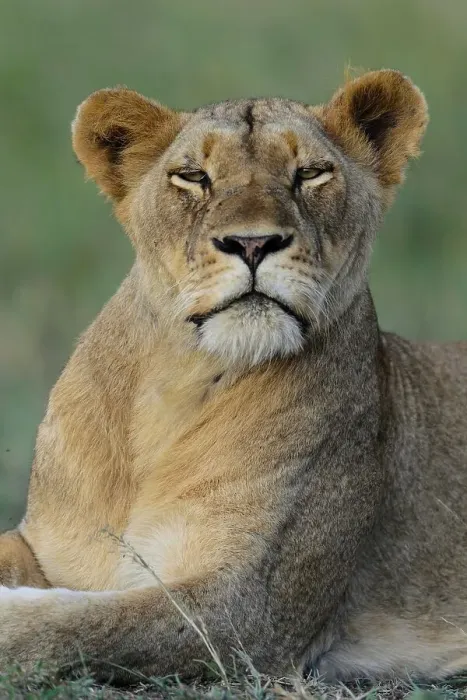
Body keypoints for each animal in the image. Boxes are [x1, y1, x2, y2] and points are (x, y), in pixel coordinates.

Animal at [0, 69, 466, 683]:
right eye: (193, 176)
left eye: (310, 173)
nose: (252, 243)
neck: (176, 386)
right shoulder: (47, 547)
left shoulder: (249, 611)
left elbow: (80, 626)